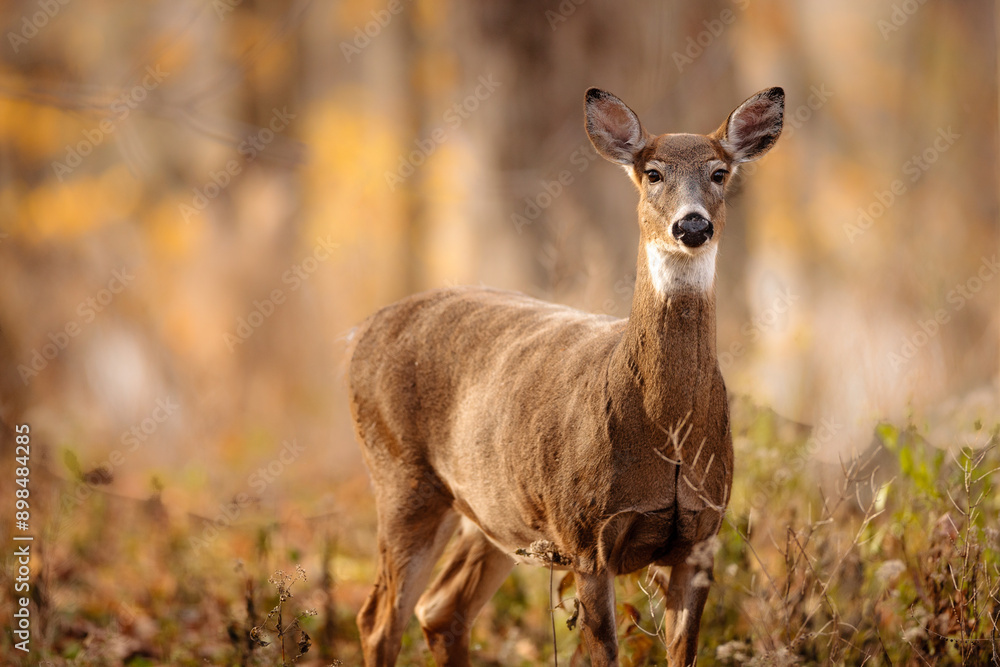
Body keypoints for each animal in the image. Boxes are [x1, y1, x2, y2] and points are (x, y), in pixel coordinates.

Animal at [348, 85, 784, 666]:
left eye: (719, 172)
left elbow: (682, 654)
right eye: (652, 173)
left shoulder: (701, 538)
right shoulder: (586, 536)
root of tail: (359, 334)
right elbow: (605, 654)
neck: (665, 431)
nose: (692, 226)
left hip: (493, 510)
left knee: (440, 608)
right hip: (401, 480)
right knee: (378, 620)